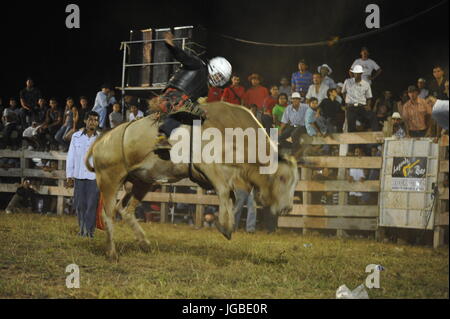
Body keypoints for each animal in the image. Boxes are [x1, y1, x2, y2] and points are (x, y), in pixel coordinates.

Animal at [86, 103, 300, 262]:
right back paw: (112, 253)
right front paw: (226, 227)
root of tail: (102, 140)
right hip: (110, 180)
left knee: (125, 210)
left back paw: (144, 243)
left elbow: (229, 196)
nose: (287, 208)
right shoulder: (208, 166)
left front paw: (226, 222)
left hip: (141, 182)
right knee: (108, 214)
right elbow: (224, 192)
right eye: (282, 178)